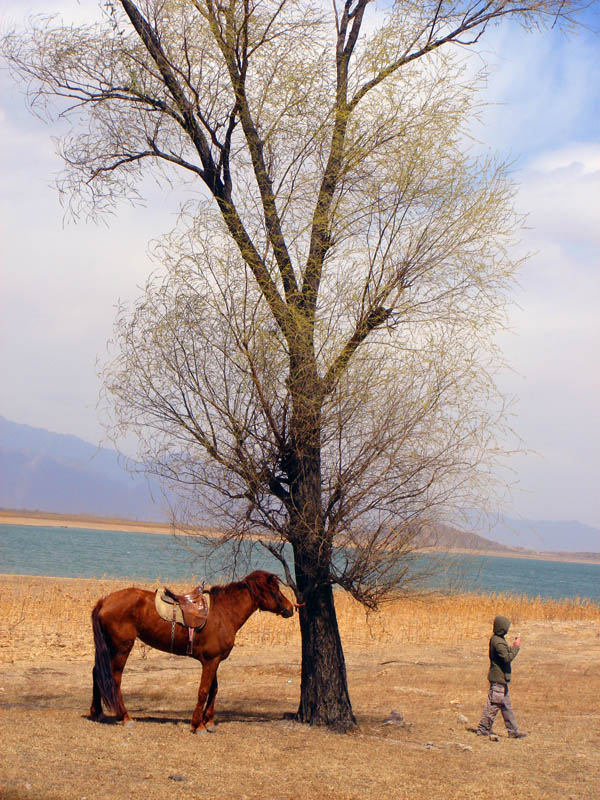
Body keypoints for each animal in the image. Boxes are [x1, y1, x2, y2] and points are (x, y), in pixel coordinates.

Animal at [89, 568, 296, 732]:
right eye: (275, 589)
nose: (290, 608)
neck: (224, 612)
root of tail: (104, 601)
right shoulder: (210, 661)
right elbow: (203, 690)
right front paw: (198, 725)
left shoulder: (215, 660)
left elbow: (214, 689)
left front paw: (209, 721)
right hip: (122, 648)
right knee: (114, 679)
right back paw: (124, 717)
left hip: (109, 647)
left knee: (98, 672)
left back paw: (97, 712)